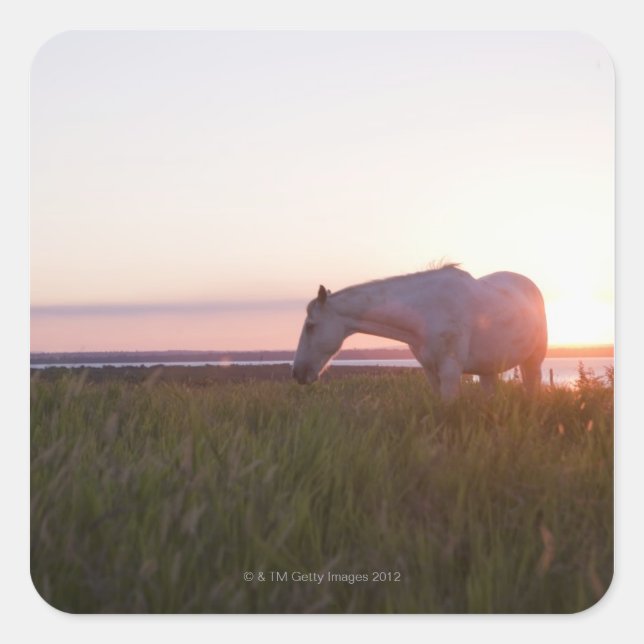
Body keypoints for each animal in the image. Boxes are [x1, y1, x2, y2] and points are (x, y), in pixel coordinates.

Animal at [292, 264, 547, 400]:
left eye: (310, 325)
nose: (297, 373)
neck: (426, 312)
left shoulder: (450, 371)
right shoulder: (430, 370)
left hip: (533, 360)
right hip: (488, 369)